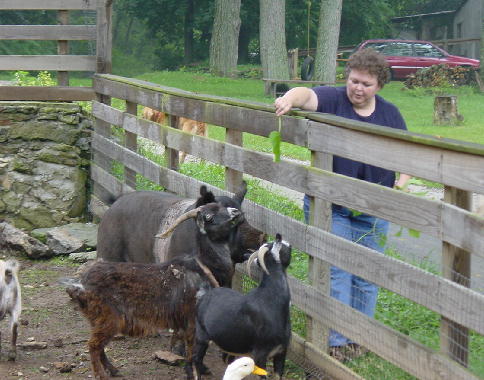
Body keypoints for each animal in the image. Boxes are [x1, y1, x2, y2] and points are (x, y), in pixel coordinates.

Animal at [193, 236, 292, 378]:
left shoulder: (281, 351)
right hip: (202, 336)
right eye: (286, 247)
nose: (289, 243)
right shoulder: (260, 353)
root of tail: (205, 294)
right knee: (196, 358)